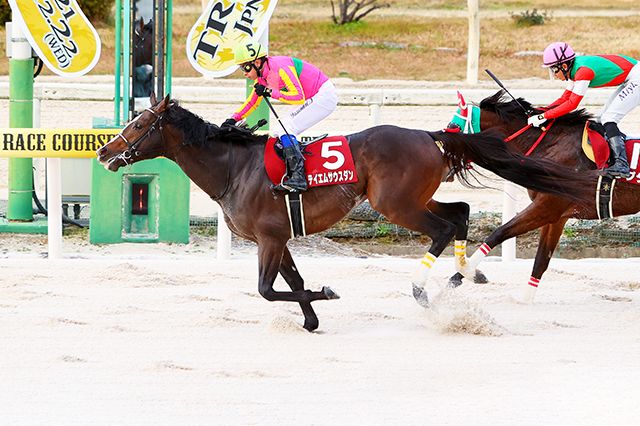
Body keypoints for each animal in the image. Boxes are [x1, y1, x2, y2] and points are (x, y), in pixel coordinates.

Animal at [96, 95, 596, 332]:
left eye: (139, 124)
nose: (103, 151)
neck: (233, 169)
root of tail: (428, 134)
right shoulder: (276, 238)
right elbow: (290, 282)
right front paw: (311, 318)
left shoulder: (270, 239)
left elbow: (267, 290)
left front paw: (326, 294)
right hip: (411, 198)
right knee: (460, 212)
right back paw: (461, 274)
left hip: (395, 203)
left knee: (442, 227)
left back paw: (424, 288)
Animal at [448, 90, 636, 302]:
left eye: (452, 127)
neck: (550, 146)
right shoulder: (556, 217)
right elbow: (541, 260)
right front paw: (525, 301)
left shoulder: (546, 207)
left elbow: (499, 233)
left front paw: (469, 274)